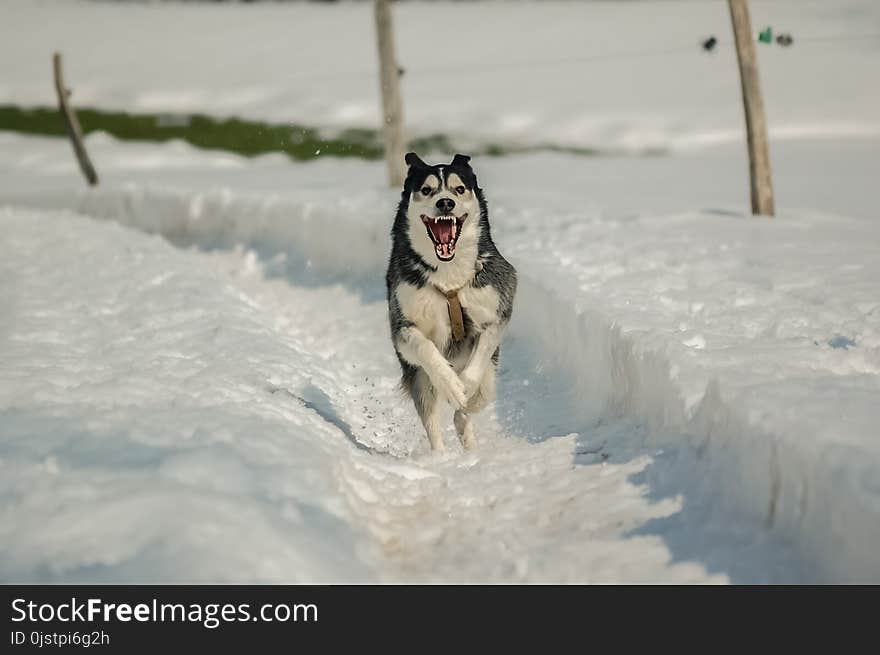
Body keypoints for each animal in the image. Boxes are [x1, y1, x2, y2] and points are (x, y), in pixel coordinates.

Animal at [384, 154, 516, 452]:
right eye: (426, 190)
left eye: (459, 189)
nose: (446, 203)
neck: (448, 277)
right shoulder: (402, 326)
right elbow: (424, 348)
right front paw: (451, 385)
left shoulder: (498, 306)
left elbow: (481, 357)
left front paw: (465, 386)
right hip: (418, 379)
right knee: (432, 419)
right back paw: (442, 456)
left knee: (481, 394)